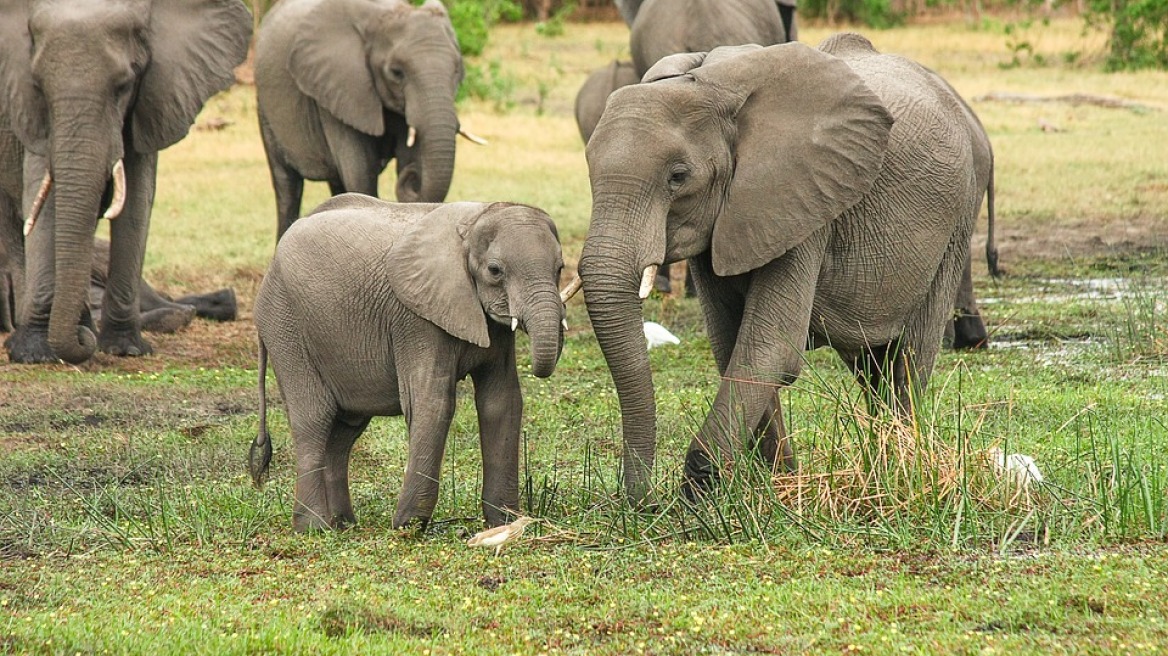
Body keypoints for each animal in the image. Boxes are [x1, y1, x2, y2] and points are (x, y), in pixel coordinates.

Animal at [0, 0, 253, 361]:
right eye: (38, 86)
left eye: (123, 86)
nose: (81, 342)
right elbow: (42, 197)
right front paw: (34, 353)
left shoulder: (151, 99)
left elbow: (137, 201)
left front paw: (125, 348)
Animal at [248, 193, 572, 532]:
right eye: (495, 270)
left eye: (560, 267)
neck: (474, 222)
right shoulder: (416, 319)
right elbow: (432, 402)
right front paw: (408, 526)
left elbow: (501, 402)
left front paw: (504, 523)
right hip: (285, 325)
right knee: (314, 418)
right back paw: (314, 528)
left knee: (345, 430)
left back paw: (343, 524)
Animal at [258, 0, 471, 236]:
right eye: (396, 72)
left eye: (457, 70)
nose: (414, 176)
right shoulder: (340, 90)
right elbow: (360, 173)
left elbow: (405, 157)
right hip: (266, 110)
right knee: (287, 186)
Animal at [574, 35, 985, 501]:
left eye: (677, 177)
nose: (642, 502)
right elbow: (732, 345)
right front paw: (777, 485)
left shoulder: (804, 200)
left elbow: (769, 348)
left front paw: (701, 493)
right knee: (871, 366)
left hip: (957, 220)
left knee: (908, 358)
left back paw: (900, 469)